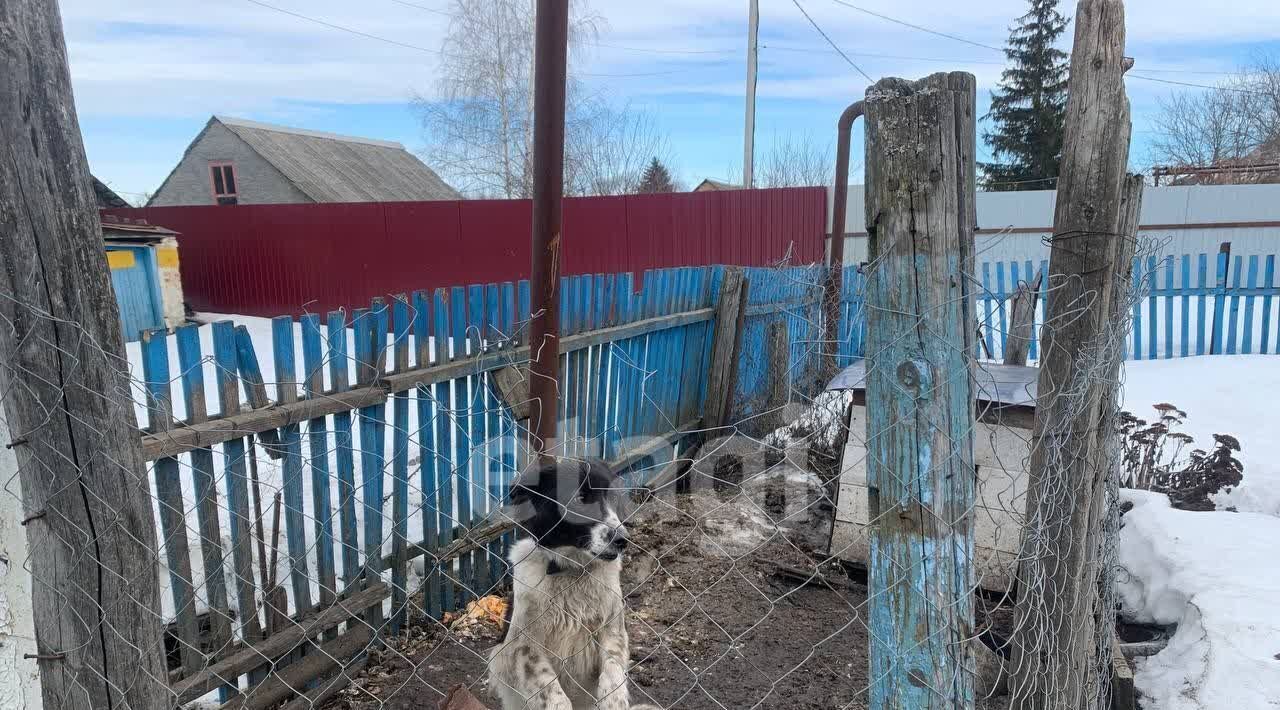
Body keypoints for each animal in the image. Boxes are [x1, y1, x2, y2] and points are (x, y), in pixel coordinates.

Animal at [483, 460, 655, 710]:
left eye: (613, 497)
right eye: (580, 499)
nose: (623, 540)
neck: (572, 571)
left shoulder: (613, 629)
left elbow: (613, 668)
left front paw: (613, 699)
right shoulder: (522, 647)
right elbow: (552, 690)